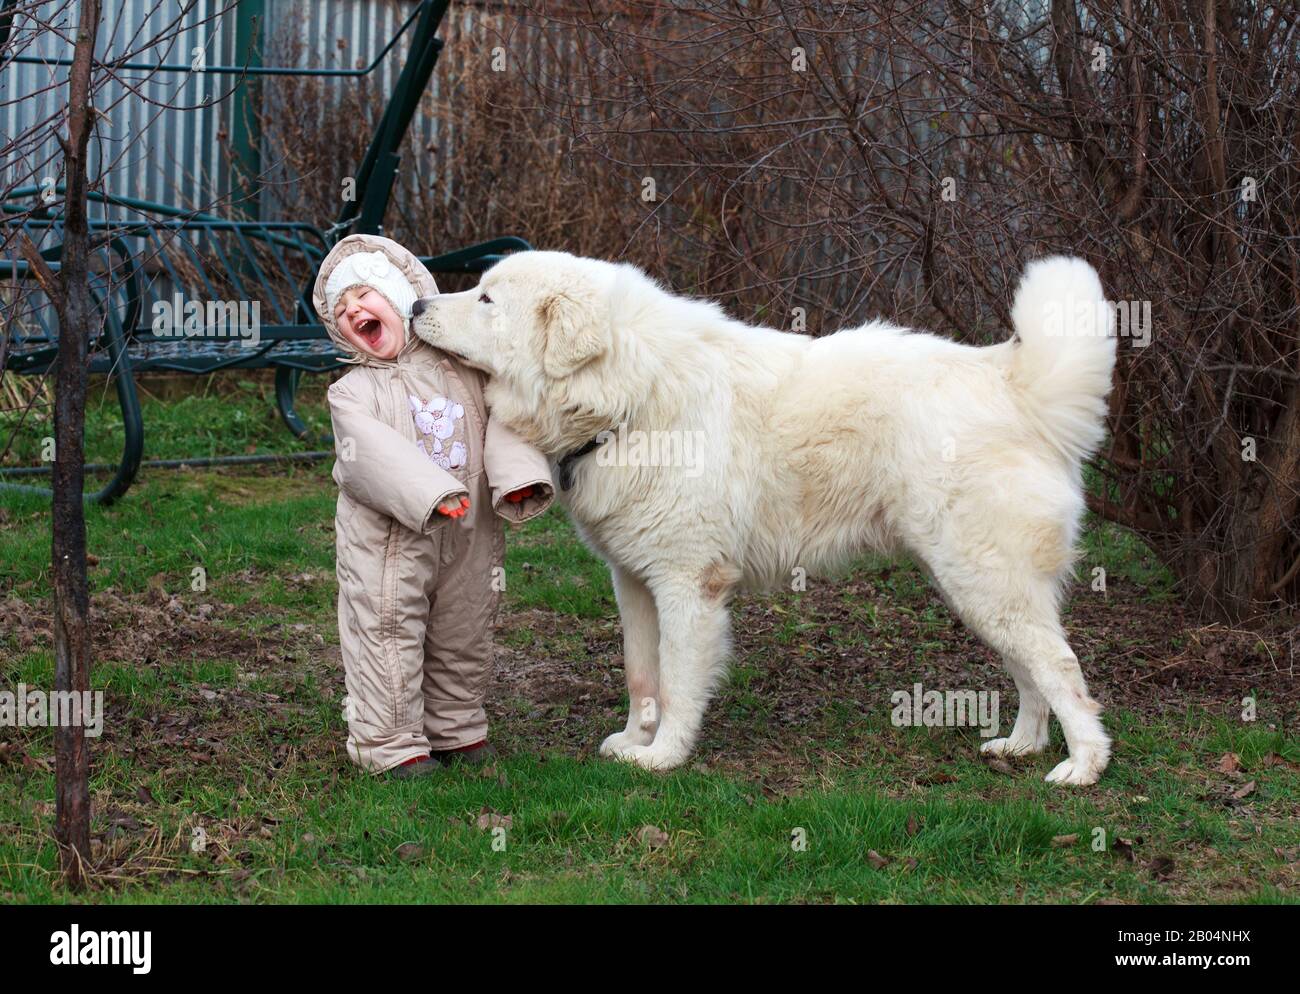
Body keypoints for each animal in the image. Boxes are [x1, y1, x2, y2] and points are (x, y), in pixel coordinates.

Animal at [413, 252, 1118, 784]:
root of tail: (1010, 381)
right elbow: (642, 673)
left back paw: (1083, 768)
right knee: (1031, 671)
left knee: (1061, 669)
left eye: (485, 299)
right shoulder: (634, 581)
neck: (631, 395)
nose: (419, 308)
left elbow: (678, 680)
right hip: (978, 589)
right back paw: (1021, 745)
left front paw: (664, 757)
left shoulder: (688, 585)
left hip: (983, 581)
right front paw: (634, 740)